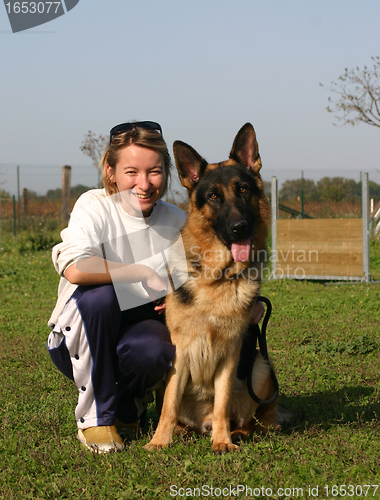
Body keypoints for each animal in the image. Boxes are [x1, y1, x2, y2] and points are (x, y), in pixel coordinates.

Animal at [144, 124, 278, 454]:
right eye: (214, 196)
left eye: (243, 190)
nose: (240, 227)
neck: (216, 278)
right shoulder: (179, 353)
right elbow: (168, 405)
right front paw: (159, 441)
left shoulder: (230, 354)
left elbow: (222, 403)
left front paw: (222, 441)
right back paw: (181, 431)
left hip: (261, 364)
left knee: (249, 420)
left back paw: (235, 432)